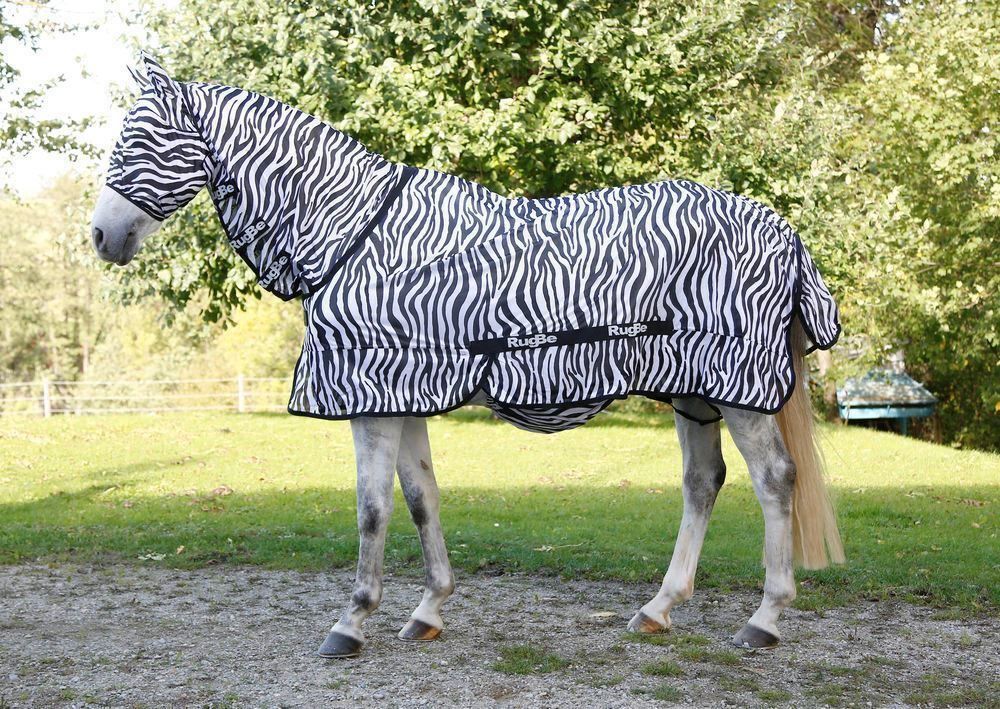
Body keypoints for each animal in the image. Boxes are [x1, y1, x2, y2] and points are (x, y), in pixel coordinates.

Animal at [91, 54, 845, 658]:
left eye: (140, 140)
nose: (101, 236)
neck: (352, 232)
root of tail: (782, 229)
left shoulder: (372, 397)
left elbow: (373, 509)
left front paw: (350, 624)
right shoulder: (400, 392)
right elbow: (421, 498)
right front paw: (428, 610)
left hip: (738, 389)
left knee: (774, 480)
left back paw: (765, 619)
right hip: (696, 391)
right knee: (703, 481)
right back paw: (658, 609)